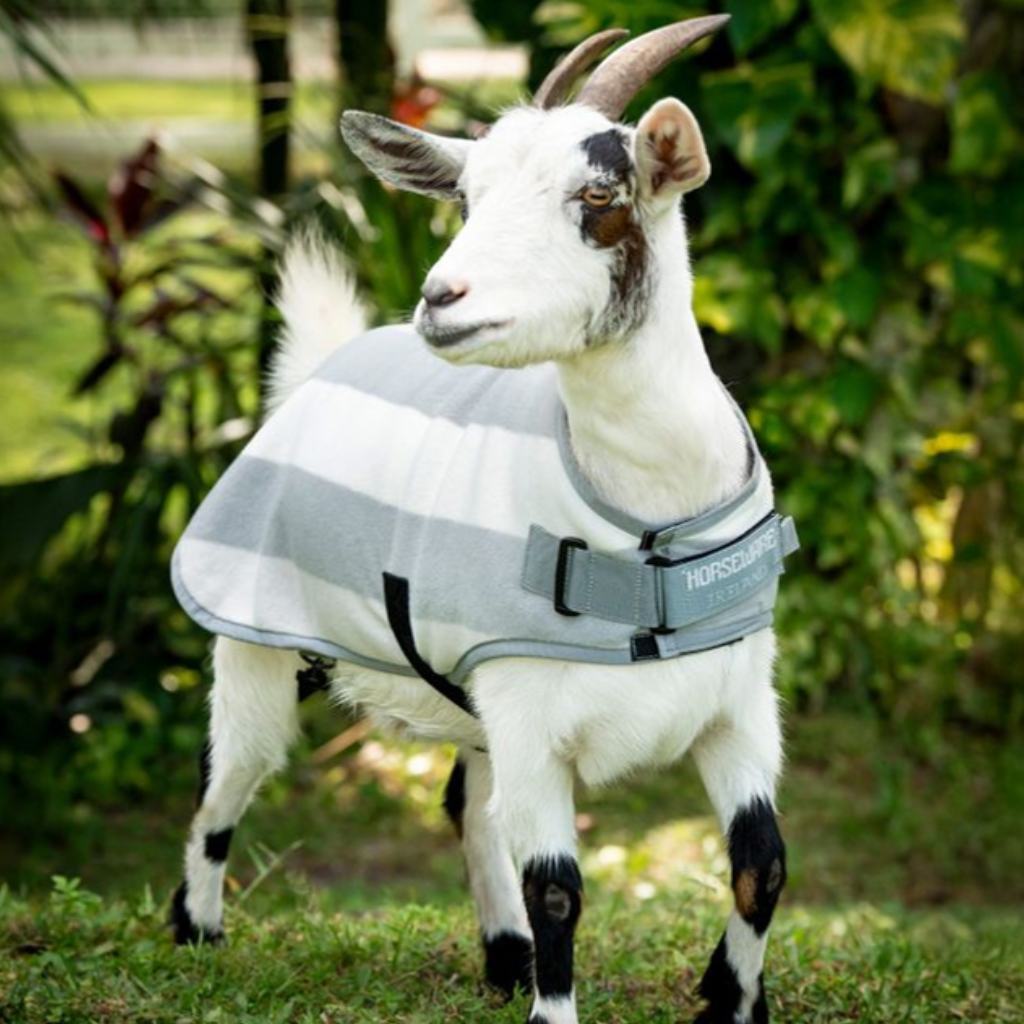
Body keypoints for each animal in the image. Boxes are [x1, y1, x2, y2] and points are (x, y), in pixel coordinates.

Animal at [169, 17, 799, 1024]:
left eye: (598, 193)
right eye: (466, 197)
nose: (440, 299)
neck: (646, 528)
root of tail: (317, 373)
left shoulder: (736, 705)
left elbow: (761, 864)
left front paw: (732, 999)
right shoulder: (534, 713)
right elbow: (560, 888)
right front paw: (557, 1005)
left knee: (470, 806)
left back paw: (504, 957)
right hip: (255, 638)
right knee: (224, 779)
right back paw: (197, 932)